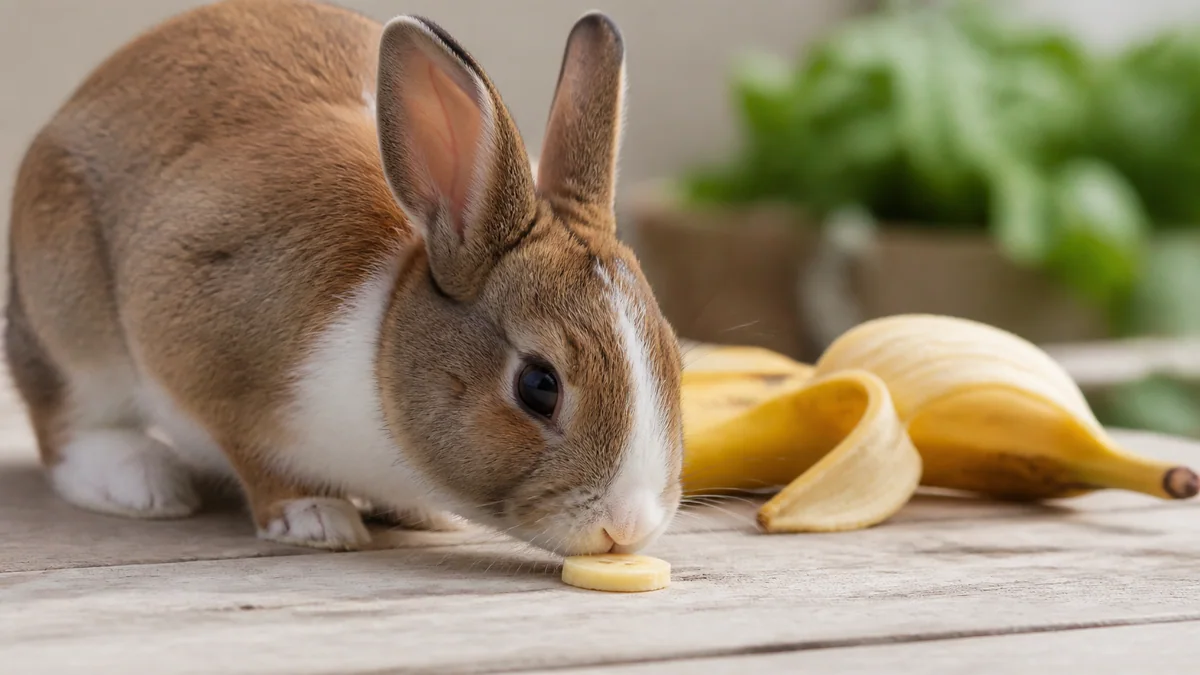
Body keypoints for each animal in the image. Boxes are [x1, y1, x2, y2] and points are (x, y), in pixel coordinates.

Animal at [5, 0, 684, 555]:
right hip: (71, 321)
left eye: (675, 358)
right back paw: (142, 484)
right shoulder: (203, 360)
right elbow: (254, 458)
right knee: (68, 426)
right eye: (538, 387)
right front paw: (312, 518)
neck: (382, 341)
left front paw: (425, 516)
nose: (628, 526)